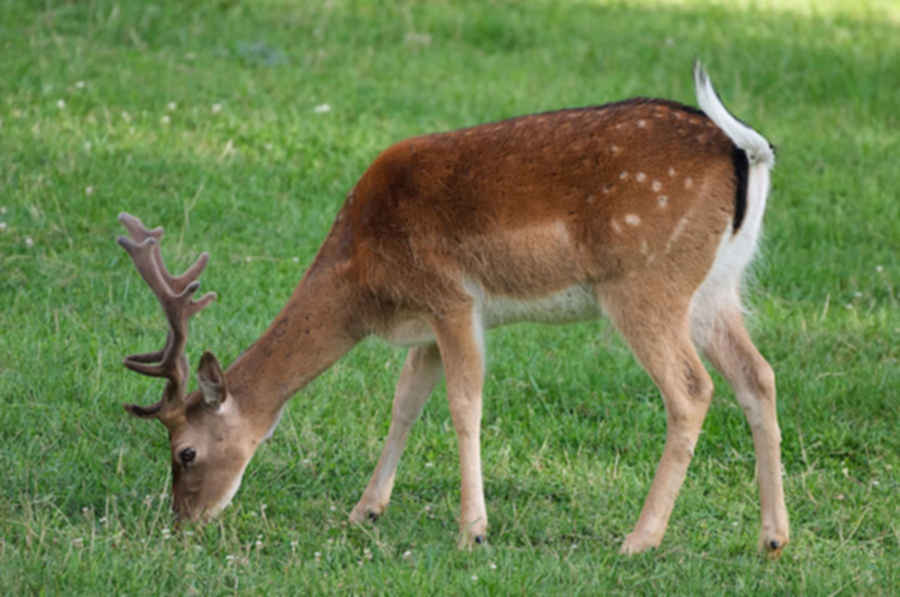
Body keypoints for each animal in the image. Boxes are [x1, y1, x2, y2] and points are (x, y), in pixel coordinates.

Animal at [114, 62, 788, 556]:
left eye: (185, 452)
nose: (184, 520)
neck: (366, 281)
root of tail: (747, 152)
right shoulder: (425, 326)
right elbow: (405, 402)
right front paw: (364, 511)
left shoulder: (452, 298)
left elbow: (464, 404)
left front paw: (473, 530)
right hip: (717, 289)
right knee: (758, 375)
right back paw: (773, 539)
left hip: (645, 282)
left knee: (692, 390)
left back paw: (639, 540)